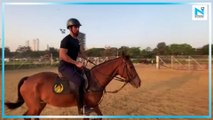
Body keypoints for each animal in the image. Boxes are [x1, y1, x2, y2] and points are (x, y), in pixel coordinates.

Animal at [5, 54, 141, 119]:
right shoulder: (87, 107)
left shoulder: (94, 106)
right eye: (130, 66)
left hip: (39, 105)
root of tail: (28, 79)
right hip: (35, 106)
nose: (139, 82)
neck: (94, 80)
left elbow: (100, 116)